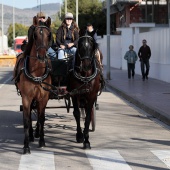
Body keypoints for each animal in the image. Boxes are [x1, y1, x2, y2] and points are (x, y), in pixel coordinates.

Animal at [13, 16, 51, 154]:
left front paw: (42, 141)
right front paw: (26, 146)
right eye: (34, 35)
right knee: (29, 114)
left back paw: (37, 133)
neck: (37, 72)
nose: (41, 55)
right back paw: (30, 135)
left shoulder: (44, 98)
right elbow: (26, 119)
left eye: (49, 35)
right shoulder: (26, 98)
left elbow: (41, 118)